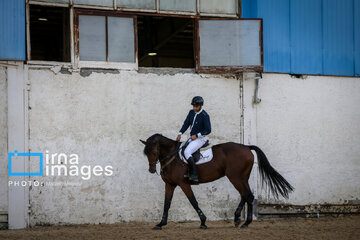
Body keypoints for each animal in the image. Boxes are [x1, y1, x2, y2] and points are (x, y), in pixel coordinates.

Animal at [139, 134, 294, 230]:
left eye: (154, 152)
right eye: (146, 153)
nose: (151, 170)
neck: (173, 158)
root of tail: (246, 147)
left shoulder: (184, 184)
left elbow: (193, 201)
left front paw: (203, 222)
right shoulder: (170, 184)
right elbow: (166, 204)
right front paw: (160, 224)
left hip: (235, 178)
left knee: (246, 195)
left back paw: (241, 220)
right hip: (242, 178)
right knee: (248, 196)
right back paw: (243, 221)